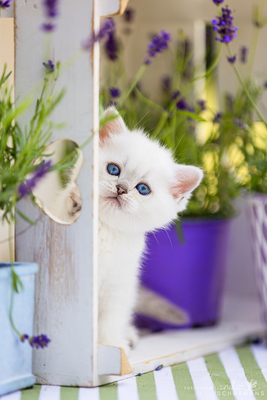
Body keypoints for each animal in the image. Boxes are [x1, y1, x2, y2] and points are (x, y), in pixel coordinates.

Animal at [98, 108, 203, 354]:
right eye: (113, 169)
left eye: (143, 189)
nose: (121, 188)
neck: (106, 232)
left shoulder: (119, 284)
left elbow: (110, 319)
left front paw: (111, 347)